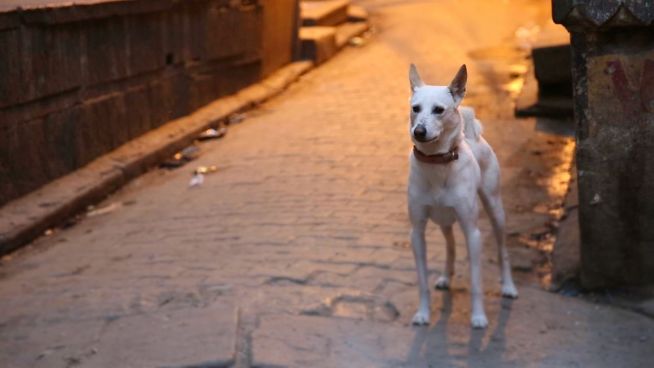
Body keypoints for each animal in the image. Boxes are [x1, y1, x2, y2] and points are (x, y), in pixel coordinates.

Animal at [408, 63, 520, 328]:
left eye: (439, 110)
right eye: (415, 108)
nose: (418, 131)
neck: (437, 163)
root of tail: (471, 137)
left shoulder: (473, 232)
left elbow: (476, 280)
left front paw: (478, 317)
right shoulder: (417, 233)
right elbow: (422, 281)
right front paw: (423, 313)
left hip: (495, 210)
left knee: (503, 251)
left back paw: (508, 286)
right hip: (444, 220)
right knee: (450, 245)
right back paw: (446, 277)